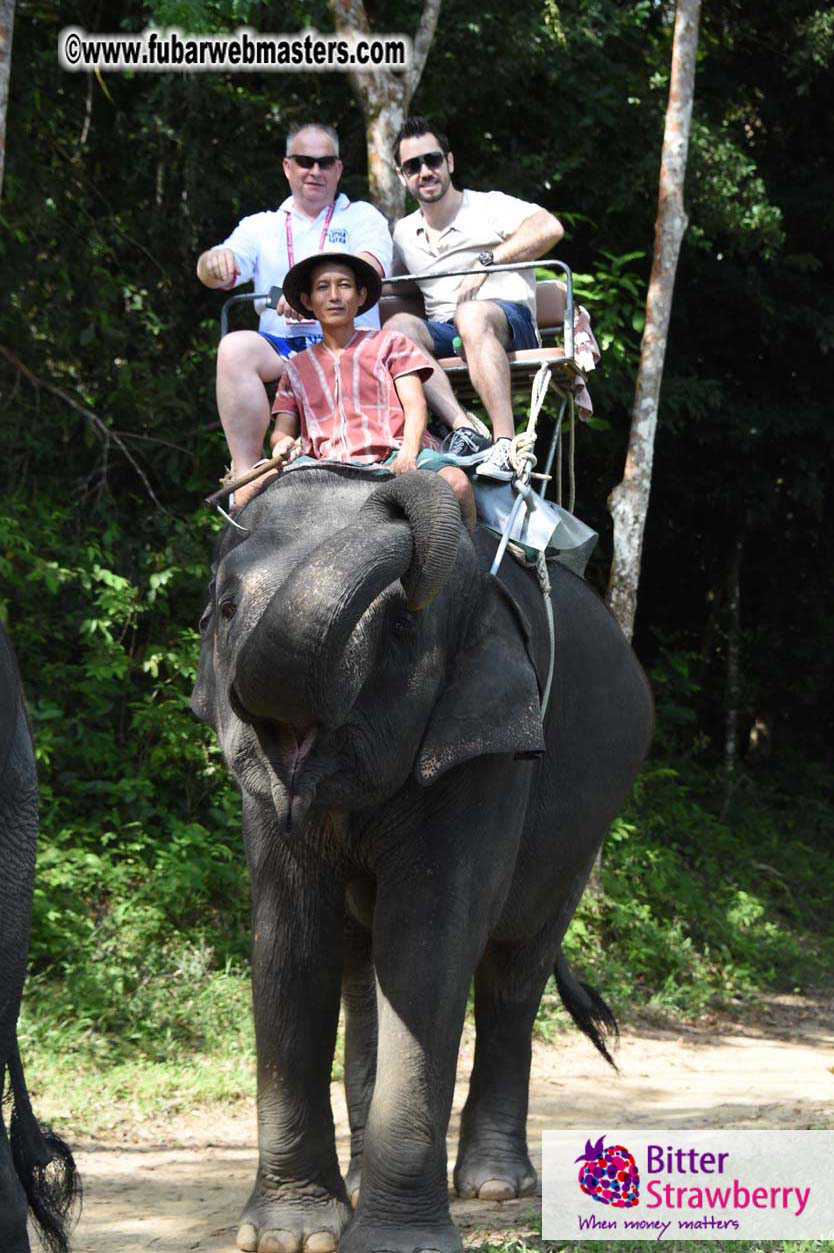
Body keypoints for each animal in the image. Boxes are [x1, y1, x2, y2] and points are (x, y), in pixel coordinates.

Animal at [191, 465, 653, 1253]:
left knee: (513, 972)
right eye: (225, 609)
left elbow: (427, 942)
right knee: (361, 965)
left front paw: (393, 1241)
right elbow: (289, 938)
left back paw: (495, 1184)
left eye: (403, 630)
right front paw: (291, 1236)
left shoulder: (486, 753)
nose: (390, 478)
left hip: (588, 824)